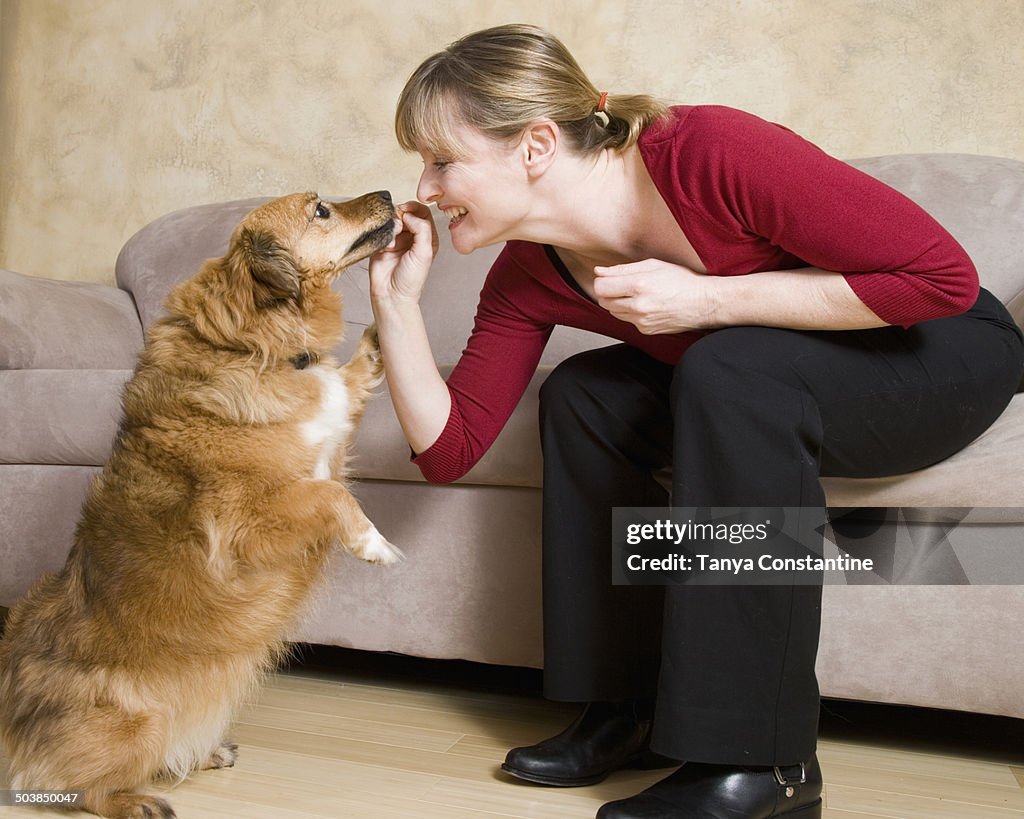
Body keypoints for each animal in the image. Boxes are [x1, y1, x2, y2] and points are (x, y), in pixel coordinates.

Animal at [0, 188, 405, 814]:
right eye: (320, 210)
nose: (388, 194)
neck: (257, 346)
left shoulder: (332, 426)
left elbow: (356, 373)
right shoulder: (249, 526)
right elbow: (333, 494)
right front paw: (373, 543)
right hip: (133, 724)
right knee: (71, 786)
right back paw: (133, 800)